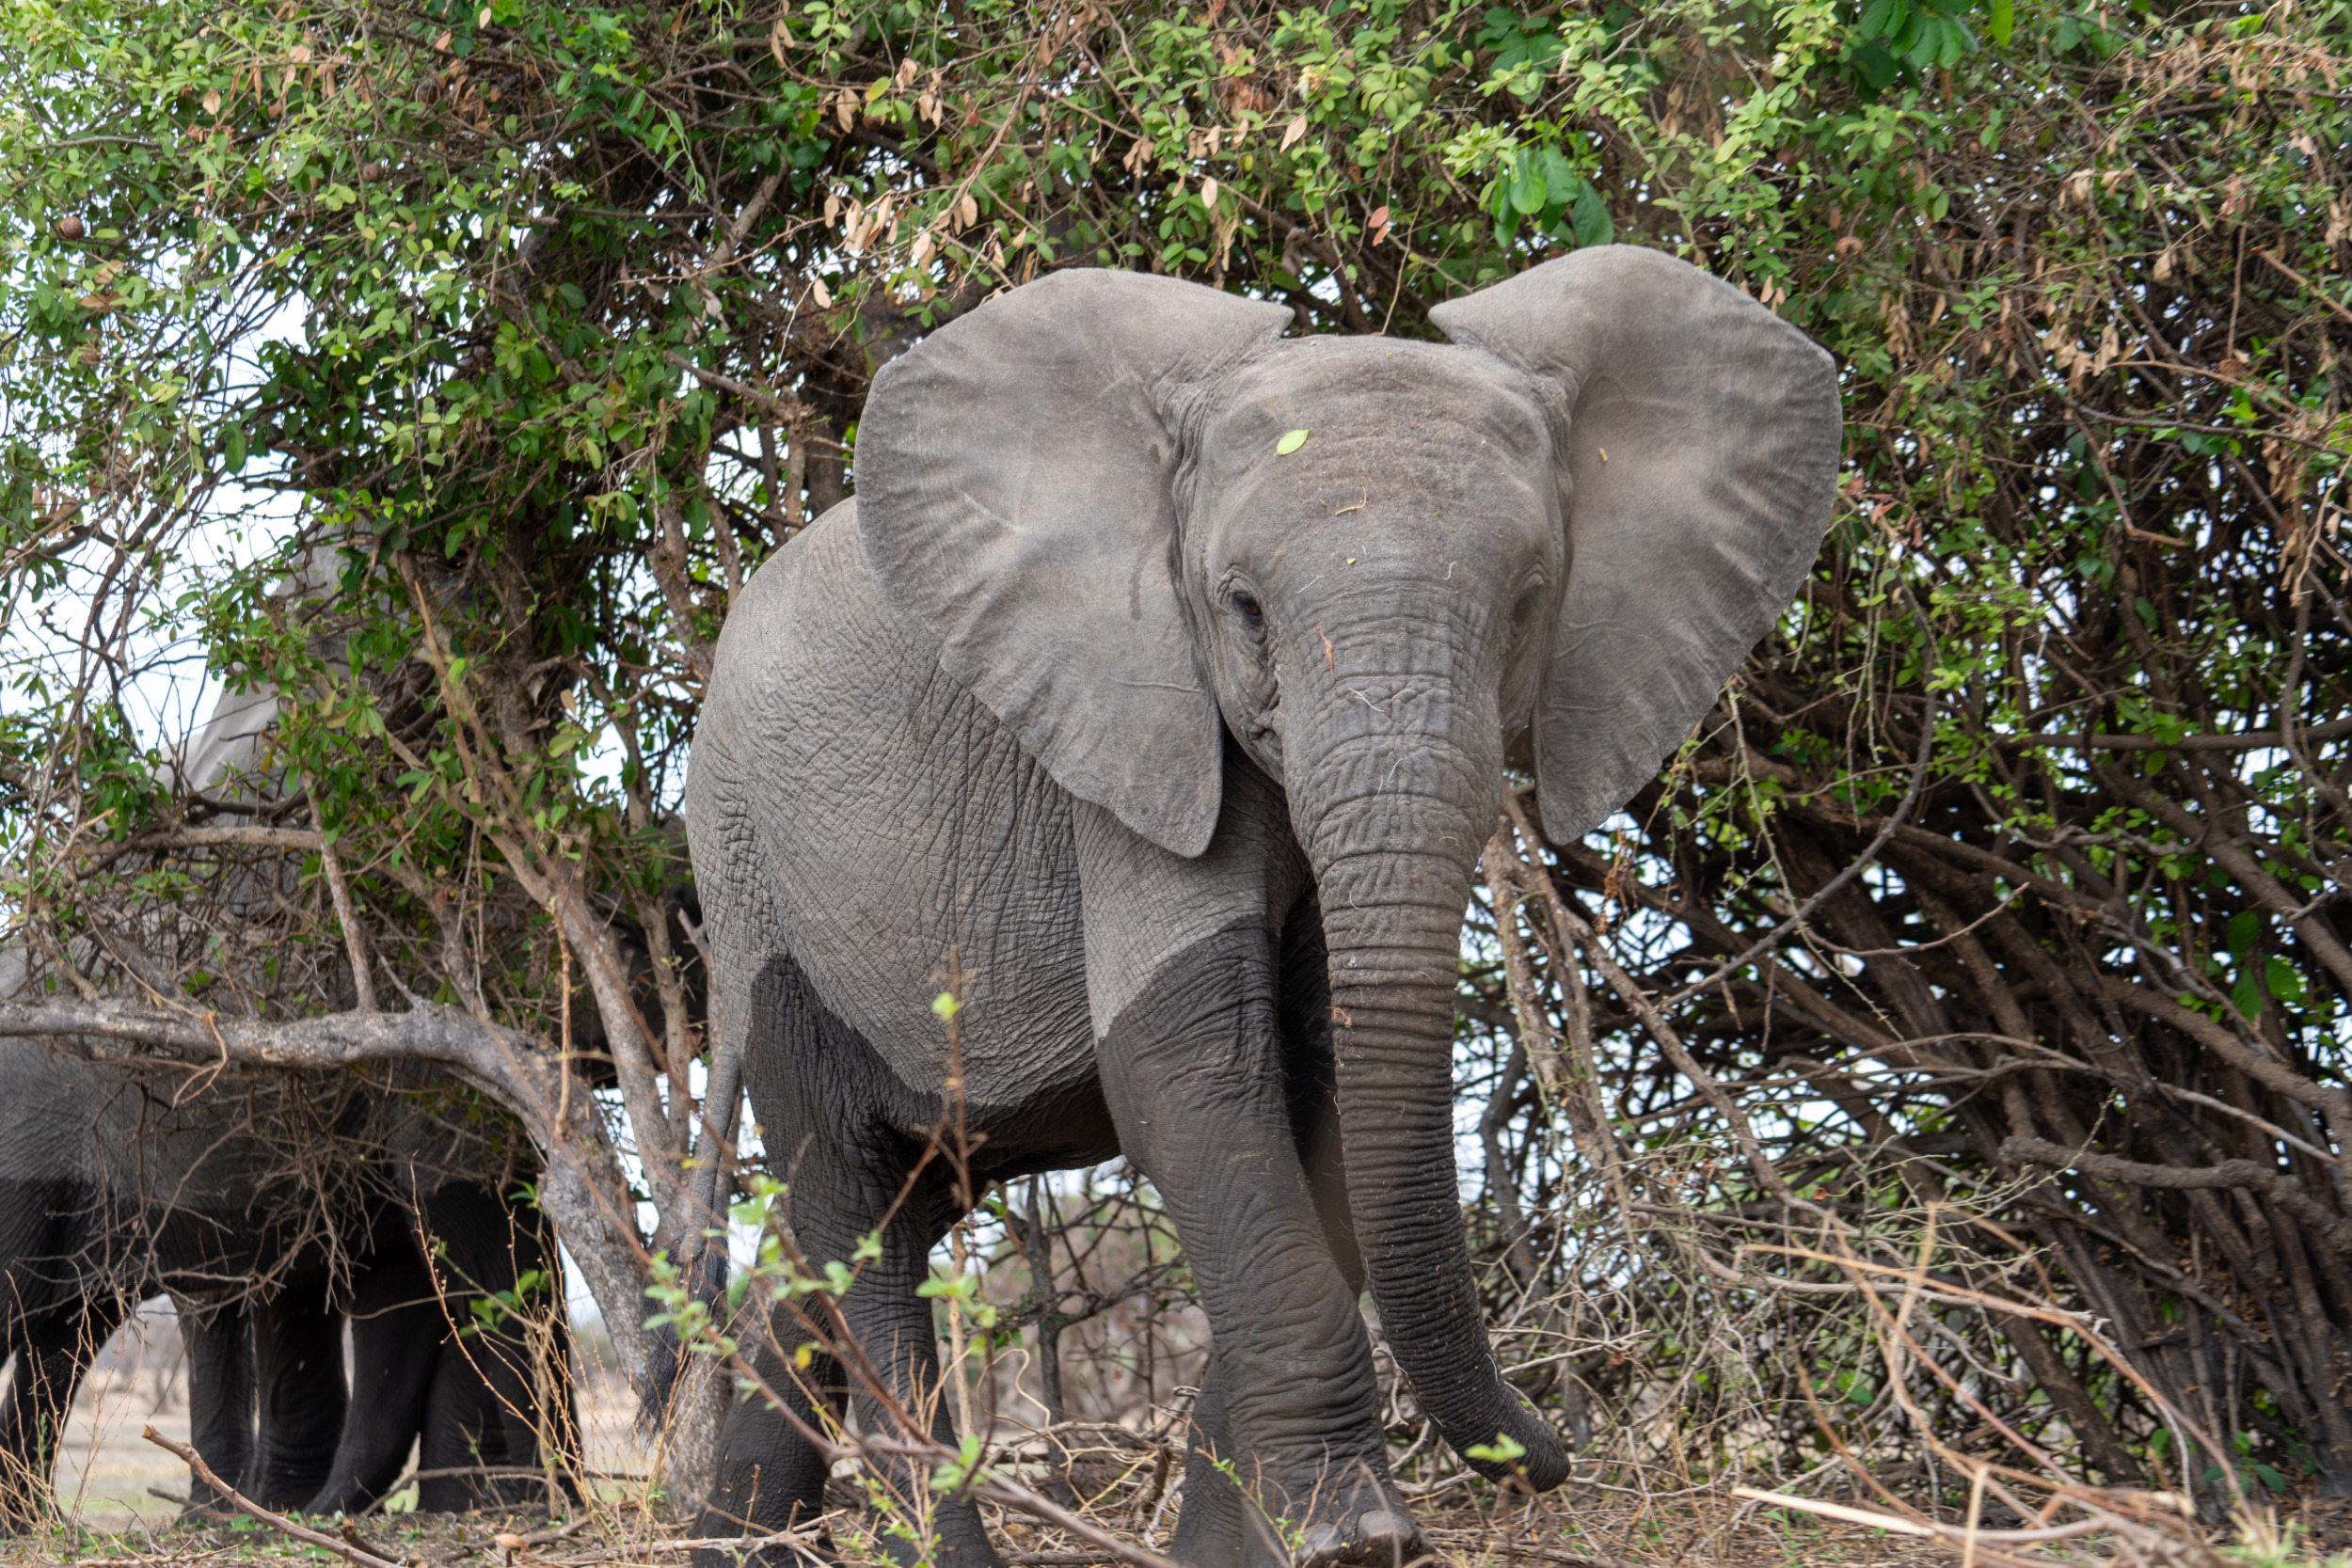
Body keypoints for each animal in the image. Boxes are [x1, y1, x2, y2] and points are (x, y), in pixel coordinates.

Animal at [682, 247, 1835, 1568]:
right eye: (1240, 606)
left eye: (1529, 603)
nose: (1551, 1453)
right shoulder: (1132, 733)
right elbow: (1190, 1071)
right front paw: (1357, 1535)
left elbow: (1322, 1084)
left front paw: (1258, 1546)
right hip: (758, 887)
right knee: (853, 1216)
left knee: (852, 1240)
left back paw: (726, 1544)